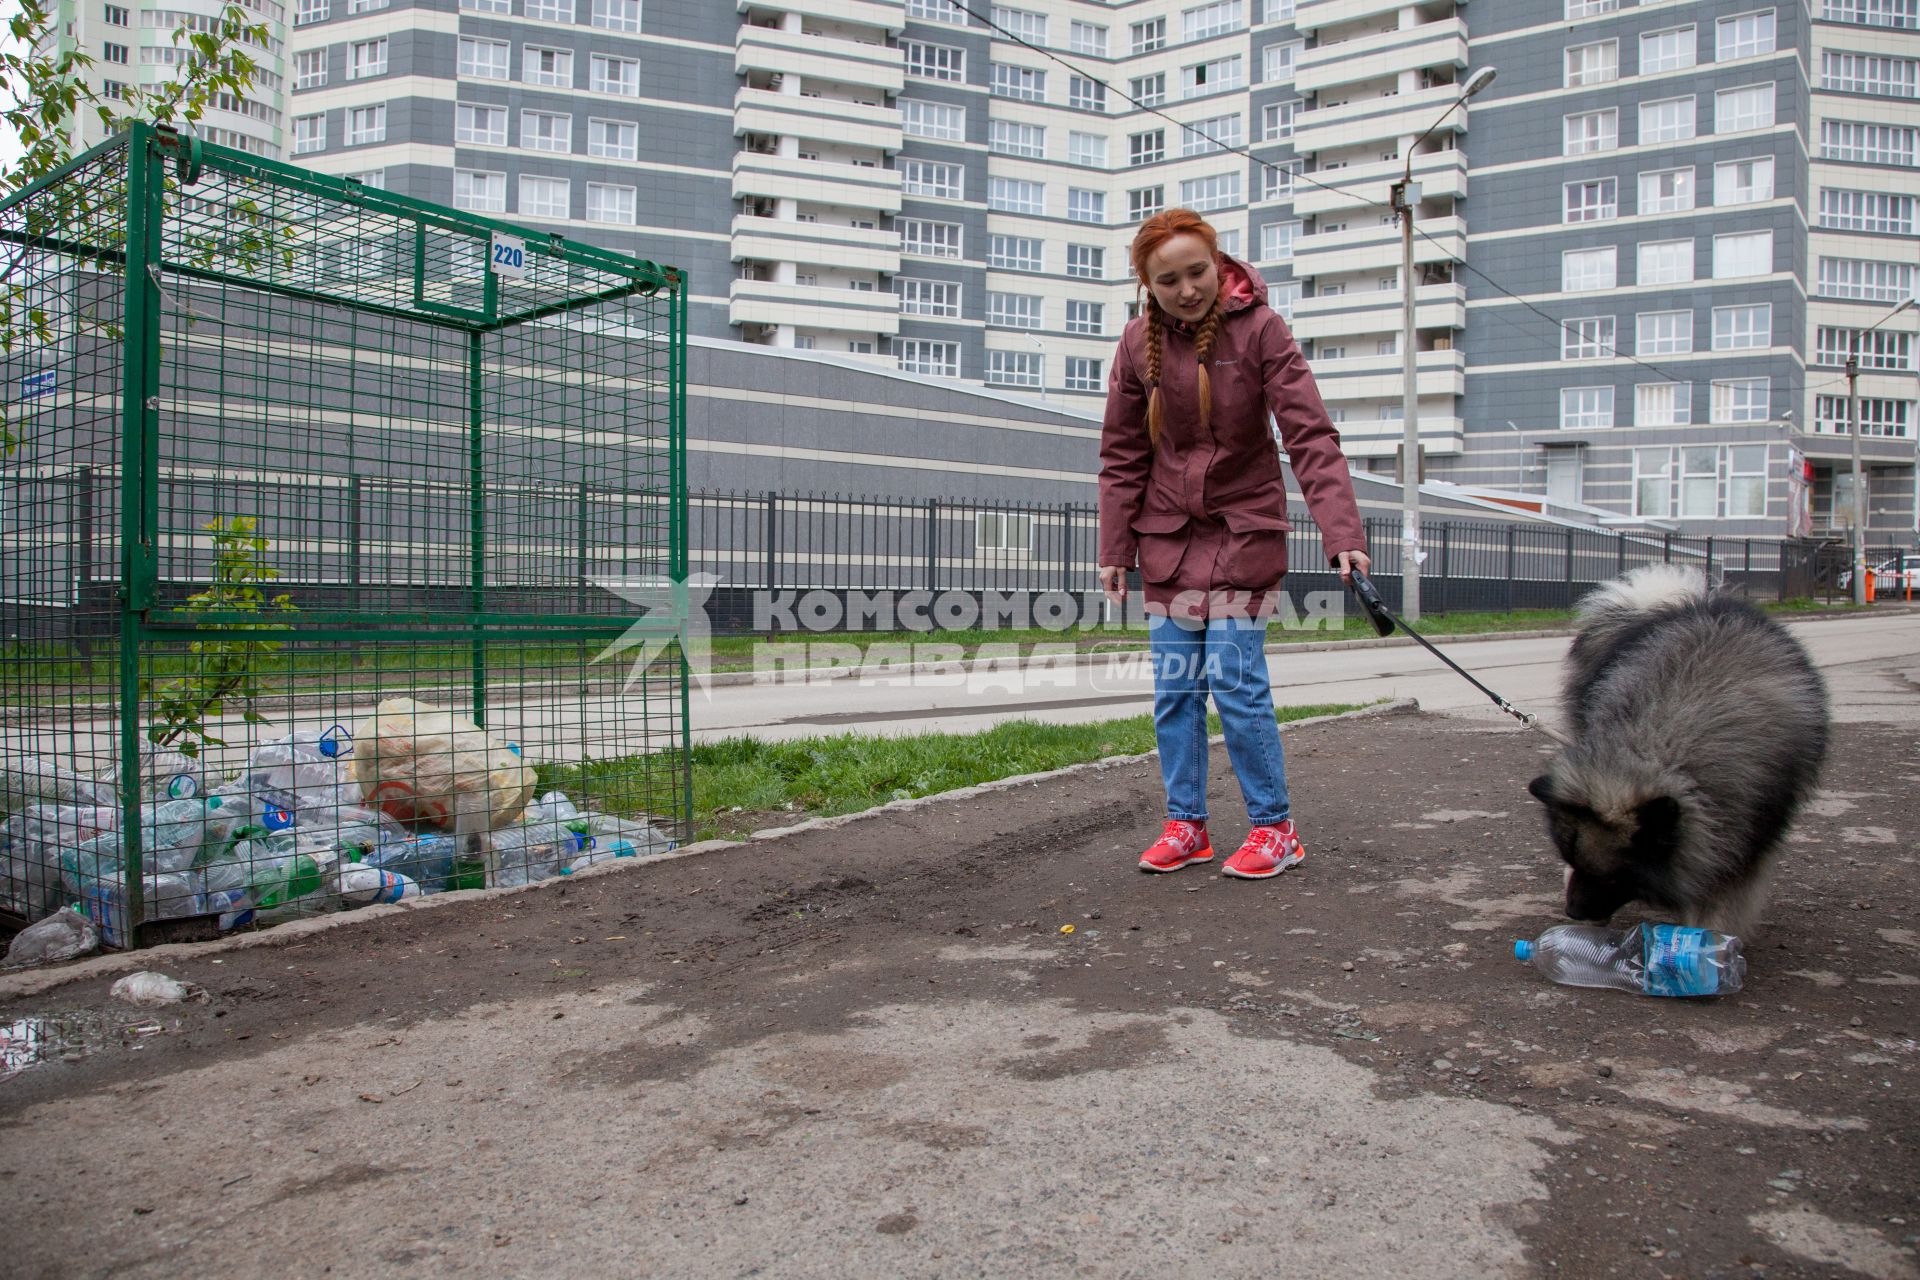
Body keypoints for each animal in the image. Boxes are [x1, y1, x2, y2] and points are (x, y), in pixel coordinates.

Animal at [1528, 564, 1827, 936]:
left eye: (1613, 878)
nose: (1573, 912)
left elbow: (1720, 897)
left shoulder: (1744, 833)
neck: (1661, 744)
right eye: (1570, 859)